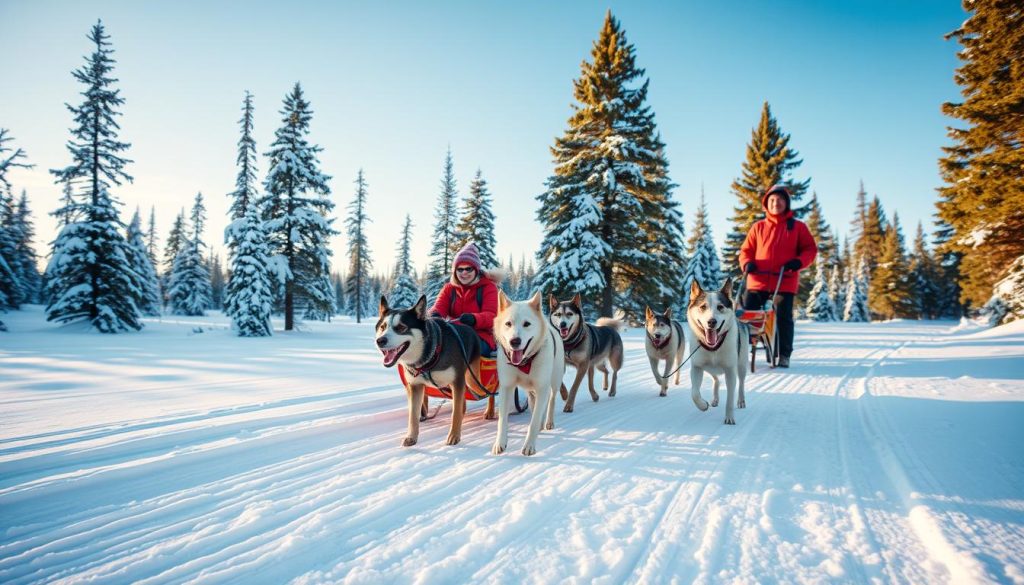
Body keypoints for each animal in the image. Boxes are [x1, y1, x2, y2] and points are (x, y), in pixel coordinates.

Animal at [376, 295, 491, 446]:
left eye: (401, 327)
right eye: (382, 327)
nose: (380, 340)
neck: (431, 353)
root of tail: (471, 329)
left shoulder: (457, 381)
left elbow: (455, 413)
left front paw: (454, 436)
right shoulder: (416, 386)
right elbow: (413, 415)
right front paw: (411, 437)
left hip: (472, 379)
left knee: (490, 392)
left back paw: (490, 411)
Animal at [491, 290, 565, 454]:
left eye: (527, 324)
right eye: (508, 324)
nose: (514, 341)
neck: (525, 363)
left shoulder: (542, 387)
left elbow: (534, 421)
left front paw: (529, 445)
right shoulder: (506, 387)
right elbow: (502, 420)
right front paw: (500, 443)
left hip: (554, 382)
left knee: (551, 400)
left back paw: (548, 422)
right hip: (532, 390)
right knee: (535, 402)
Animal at [684, 278, 749, 426]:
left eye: (720, 307)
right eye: (703, 307)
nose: (711, 322)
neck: (713, 347)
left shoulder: (730, 371)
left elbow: (730, 398)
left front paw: (729, 417)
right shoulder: (697, 367)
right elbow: (694, 393)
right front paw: (703, 405)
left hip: (741, 365)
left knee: (741, 383)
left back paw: (741, 400)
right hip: (709, 369)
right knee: (716, 379)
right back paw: (714, 399)